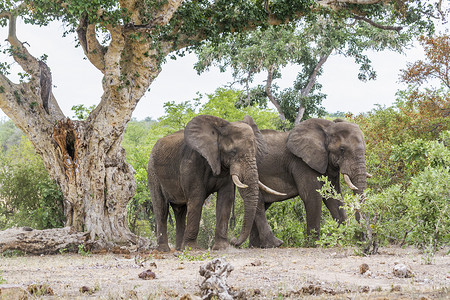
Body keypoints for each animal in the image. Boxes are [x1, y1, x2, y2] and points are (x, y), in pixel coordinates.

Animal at [147, 114, 282, 251]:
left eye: (255, 151)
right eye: (233, 152)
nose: (234, 241)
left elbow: (226, 198)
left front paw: (221, 248)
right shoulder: (191, 163)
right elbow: (196, 198)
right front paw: (192, 248)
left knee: (180, 211)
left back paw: (180, 248)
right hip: (152, 172)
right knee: (161, 208)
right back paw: (165, 249)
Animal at [250, 118, 370, 247]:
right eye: (342, 149)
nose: (361, 240)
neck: (327, 128)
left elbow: (333, 196)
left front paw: (337, 238)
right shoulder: (302, 163)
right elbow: (312, 196)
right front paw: (314, 244)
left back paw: (256, 246)